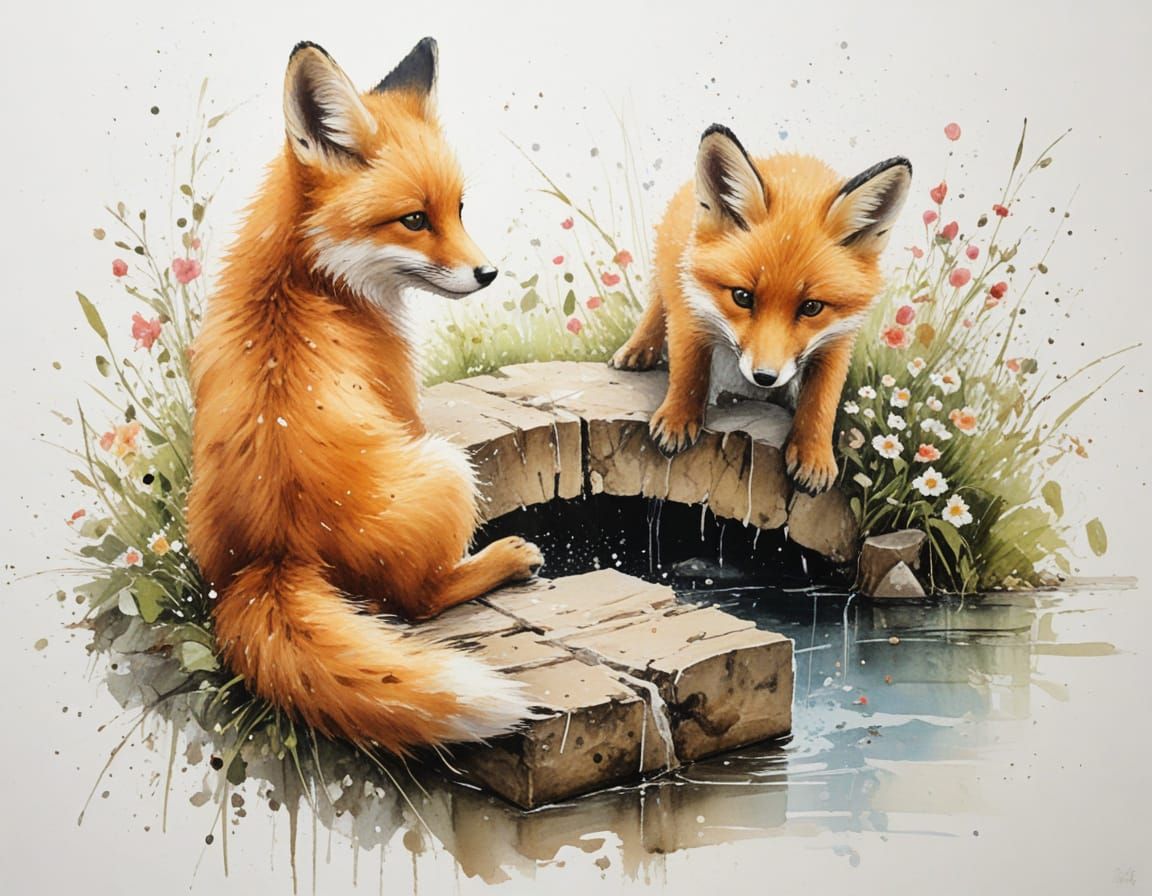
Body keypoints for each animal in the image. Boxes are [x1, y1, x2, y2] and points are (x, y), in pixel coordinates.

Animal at [185, 38, 544, 756]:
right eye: (414, 220)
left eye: (459, 209)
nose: (488, 272)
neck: (307, 276)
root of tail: (272, 559)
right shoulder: (403, 400)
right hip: (449, 467)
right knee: (417, 600)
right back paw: (502, 560)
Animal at [611, 125, 912, 494]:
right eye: (742, 296)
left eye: (811, 307)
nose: (765, 378)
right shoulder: (690, 305)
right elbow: (689, 370)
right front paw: (678, 419)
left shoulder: (839, 338)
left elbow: (822, 401)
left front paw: (814, 455)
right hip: (671, 265)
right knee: (657, 300)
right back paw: (639, 349)